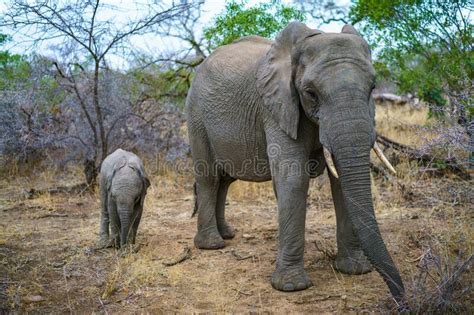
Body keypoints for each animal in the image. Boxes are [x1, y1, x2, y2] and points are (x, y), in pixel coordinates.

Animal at [185, 22, 404, 304]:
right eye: (311, 93)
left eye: (372, 88)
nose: (400, 297)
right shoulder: (276, 108)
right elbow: (293, 179)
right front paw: (291, 287)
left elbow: (340, 182)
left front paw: (354, 270)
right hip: (196, 114)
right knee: (210, 177)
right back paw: (212, 245)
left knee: (225, 179)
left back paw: (227, 234)